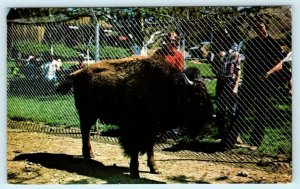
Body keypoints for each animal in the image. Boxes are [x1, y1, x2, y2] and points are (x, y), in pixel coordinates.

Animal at [58, 55, 213, 178]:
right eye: (197, 94)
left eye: (206, 92)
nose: (212, 114)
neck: (167, 86)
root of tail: (76, 74)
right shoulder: (133, 128)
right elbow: (134, 148)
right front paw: (135, 171)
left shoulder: (152, 128)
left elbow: (150, 147)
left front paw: (154, 168)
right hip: (86, 113)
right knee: (85, 131)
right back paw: (87, 156)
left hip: (92, 115)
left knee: (87, 132)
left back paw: (91, 154)